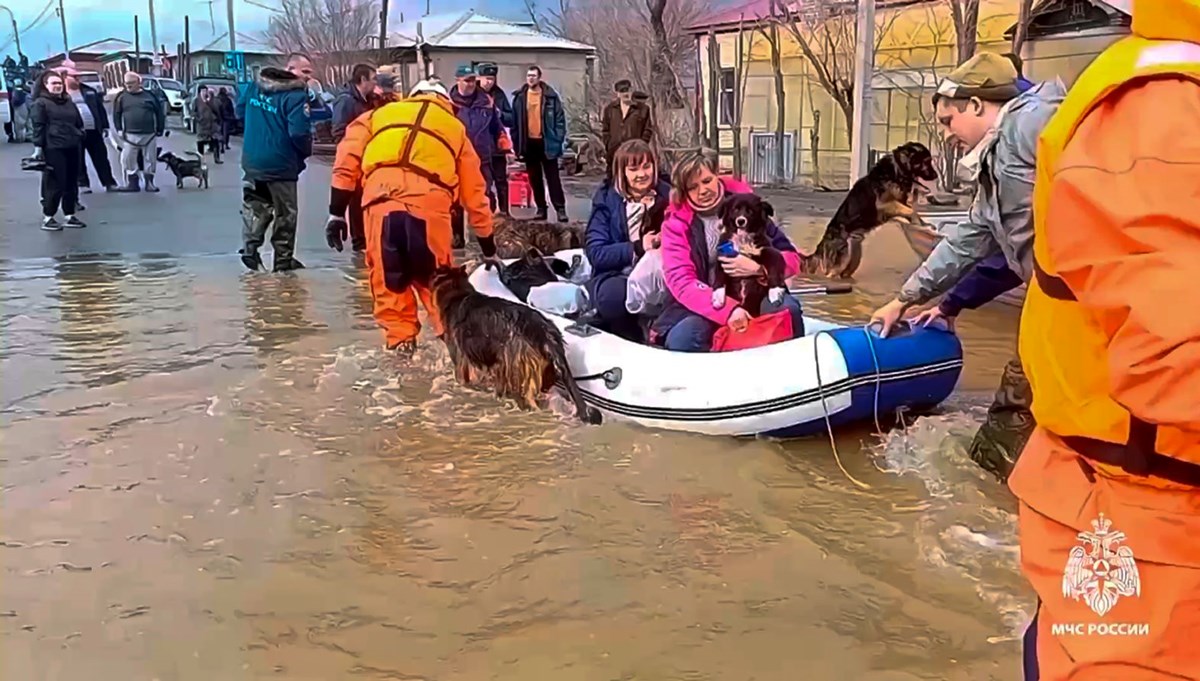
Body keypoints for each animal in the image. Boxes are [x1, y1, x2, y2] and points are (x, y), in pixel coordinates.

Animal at [801, 140, 940, 279]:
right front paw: (919, 223)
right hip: (839, 262)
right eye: (926, 161)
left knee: (845, 273)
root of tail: (821, 245)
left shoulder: (901, 202)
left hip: (853, 257)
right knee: (830, 273)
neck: (897, 170)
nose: (936, 175)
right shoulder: (884, 204)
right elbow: (911, 210)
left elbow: (910, 210)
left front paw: (922, 224)